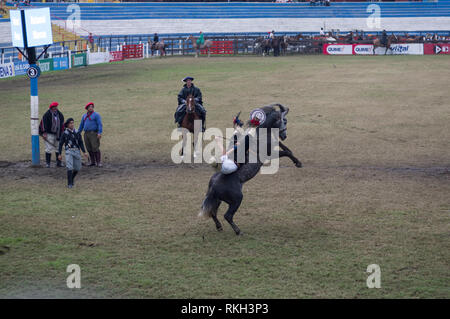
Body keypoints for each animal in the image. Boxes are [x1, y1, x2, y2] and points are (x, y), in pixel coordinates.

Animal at [199, 104, 300, 235]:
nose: (284, 135)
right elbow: (286, 152)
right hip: (236, 200)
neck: (259, 135)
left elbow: (284, 148)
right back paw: (238, 231)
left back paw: (219, 227)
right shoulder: (270, 154)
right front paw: (298, 163)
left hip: (217, 200)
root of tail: (213, 186)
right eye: (285, 120)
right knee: (227, 216)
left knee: (213, 212)